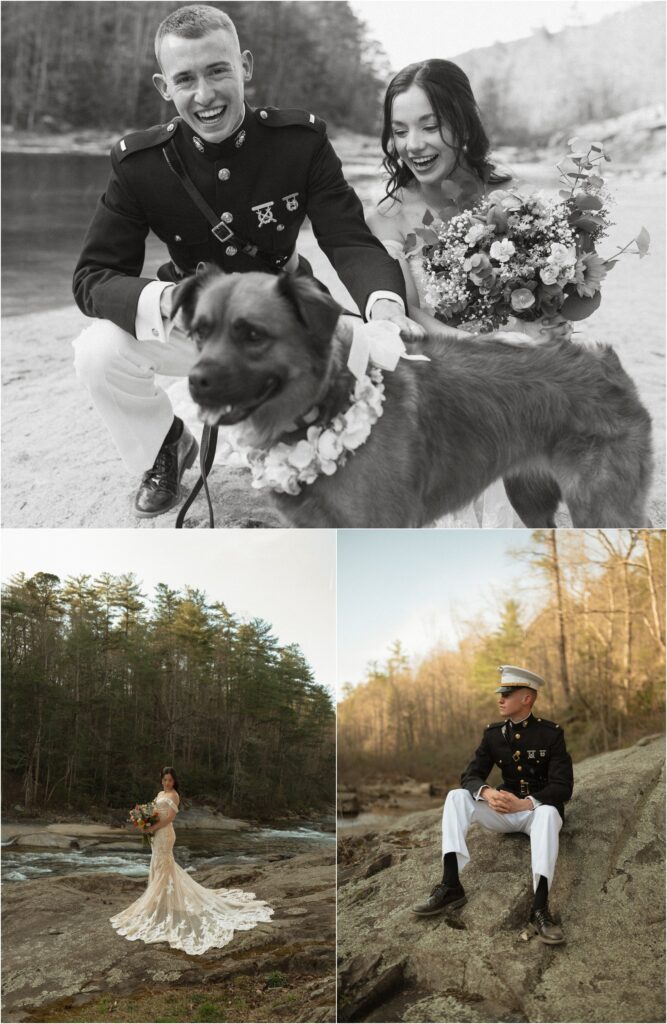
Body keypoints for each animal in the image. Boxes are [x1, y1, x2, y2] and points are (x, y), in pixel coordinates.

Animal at [171, 266, 651, 528]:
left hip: (601, 510)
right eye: (199, 332)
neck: (329, 401)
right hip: (531, 500)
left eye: (252, 335)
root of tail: (605, 361)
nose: (196, 382)